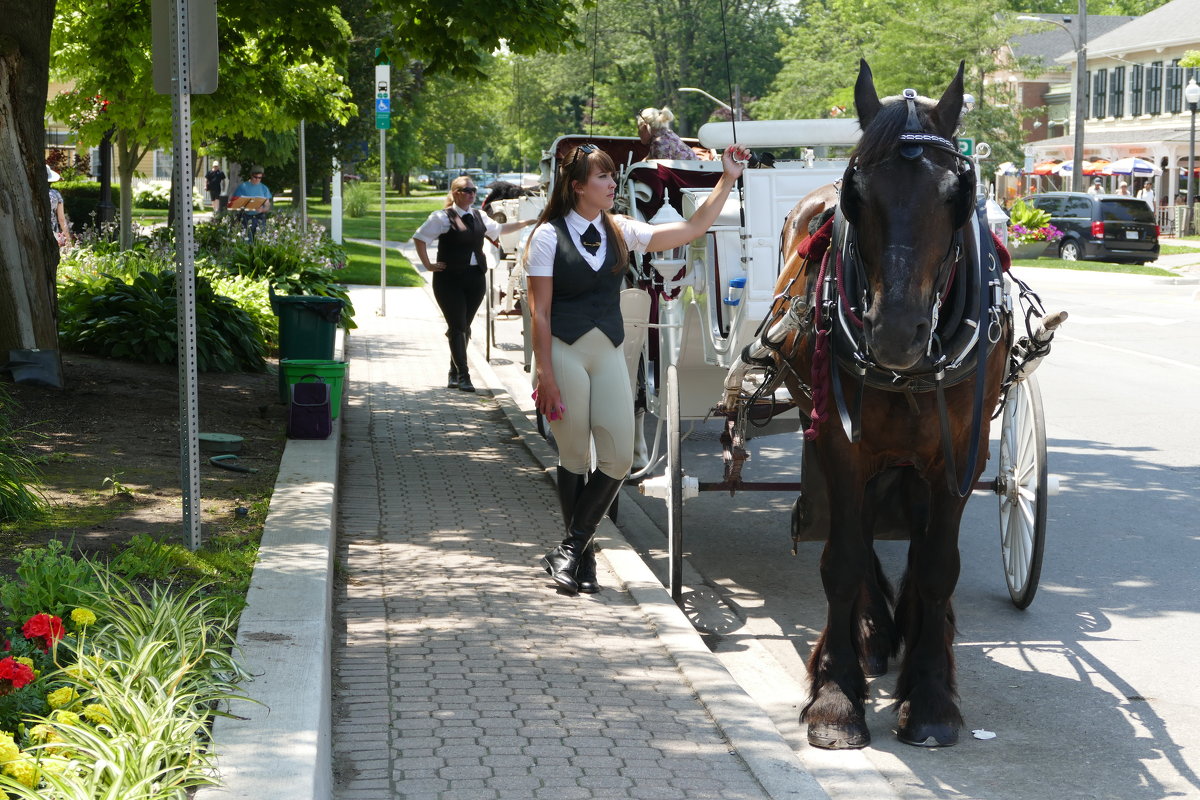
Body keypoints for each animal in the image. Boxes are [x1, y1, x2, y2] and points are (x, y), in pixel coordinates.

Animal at [768, 61, 1012, 753]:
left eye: (957, 193)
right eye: (857, 194)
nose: (896, 334)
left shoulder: (962, 456)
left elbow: (937, 566)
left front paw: (930, 696)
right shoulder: (840, 443)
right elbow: (844, 559)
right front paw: (835, 696)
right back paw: (876, 633)